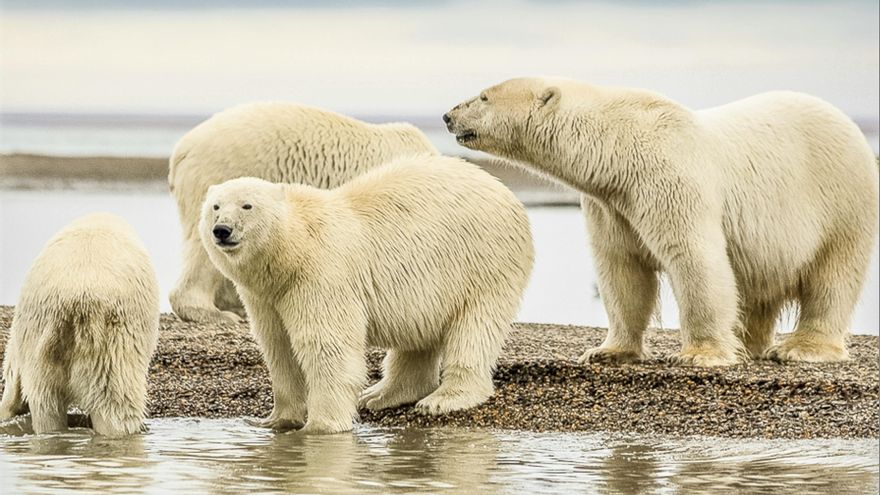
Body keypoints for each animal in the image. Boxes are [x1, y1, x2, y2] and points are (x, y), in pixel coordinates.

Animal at [199, 155, 534, 434]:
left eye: (247, 205)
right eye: (215, 206)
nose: (222, 230)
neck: (293, 250)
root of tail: (503, 190)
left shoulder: (320, 276)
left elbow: (326, 346)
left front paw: (321, 426)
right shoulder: (266, 295)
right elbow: (278, 346)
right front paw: (276, 420)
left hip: (482, 262)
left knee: (475, 328)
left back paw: (442, 399)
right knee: (418, 336)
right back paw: (380, 395)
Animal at [443, 77, 878, 366]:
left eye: (483, 96)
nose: (448, 115)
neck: (618, 148)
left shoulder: (668, 181)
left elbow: (695, 259)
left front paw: (700, 354)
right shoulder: (611, 204)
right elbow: (621, 270)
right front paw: (607, 351)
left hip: (842, 199)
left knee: (833, 275)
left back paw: (803, 348)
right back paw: (747, 342)